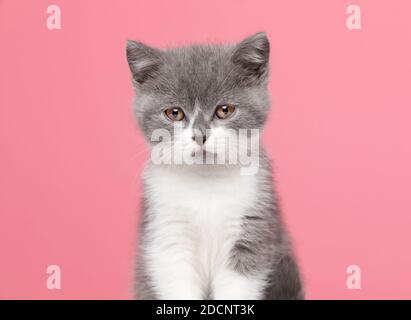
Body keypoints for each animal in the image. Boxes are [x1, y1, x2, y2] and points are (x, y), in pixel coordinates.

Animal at [127, 32, 304, 300]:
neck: (205, 181)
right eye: (174, 113)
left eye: (224, 110)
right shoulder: (168, 233)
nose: (200, 135)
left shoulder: (251, 225)